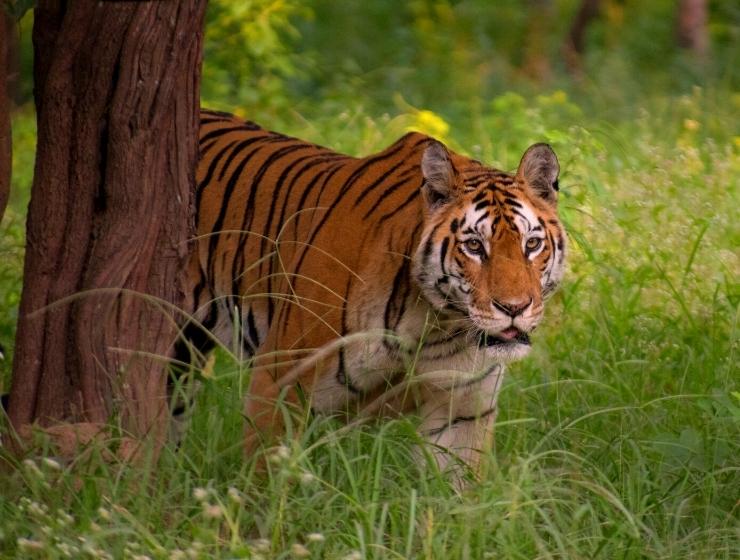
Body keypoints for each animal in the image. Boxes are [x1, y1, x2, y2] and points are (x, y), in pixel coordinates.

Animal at [179, 108, 566, 475]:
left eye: (531, 244)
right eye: (473, 246)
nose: (514, 308)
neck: (435, 324)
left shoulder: (462, 409)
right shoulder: (278, 384)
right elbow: (264, 483)